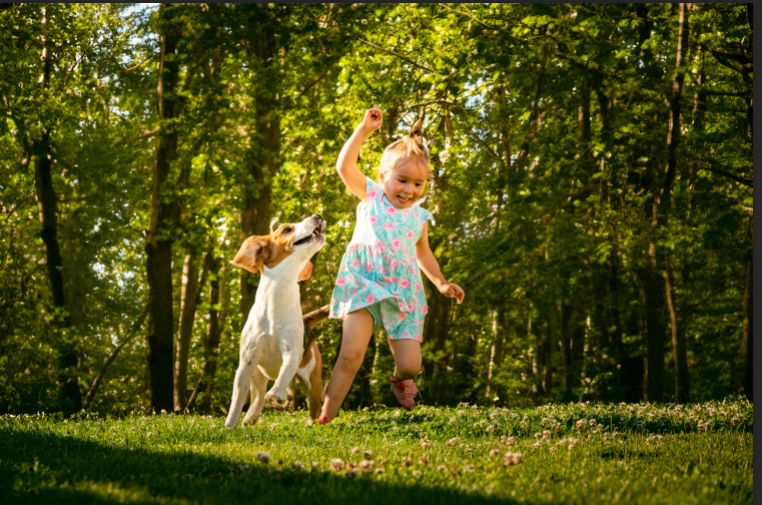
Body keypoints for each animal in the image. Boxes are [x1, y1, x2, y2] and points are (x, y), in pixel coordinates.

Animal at [223, 213, 324, 430]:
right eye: (287, 229)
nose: (317, 215)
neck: (278, 294)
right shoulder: (246, 363)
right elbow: (237, 399)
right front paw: (229, 425)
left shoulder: (291, 352)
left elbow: (285, 372)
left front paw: (278, 392)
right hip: (257, 376)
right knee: (258, 397)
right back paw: (251, 416)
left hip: (312, 380)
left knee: (314, 408)